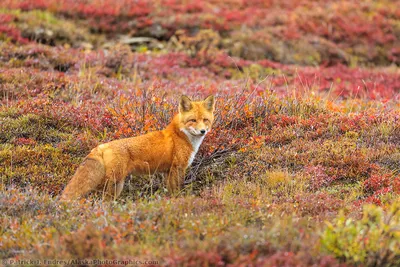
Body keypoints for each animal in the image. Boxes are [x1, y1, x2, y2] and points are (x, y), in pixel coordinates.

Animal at [60, 95, 214, 200]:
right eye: (193, 120)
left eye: (205, 120)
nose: (203, 131)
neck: (181, 135)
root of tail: (102, 146)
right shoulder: (178, 168)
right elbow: (177, 191)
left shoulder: (168, 171)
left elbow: (170, 192)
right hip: (114, 183)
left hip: (118, 185)